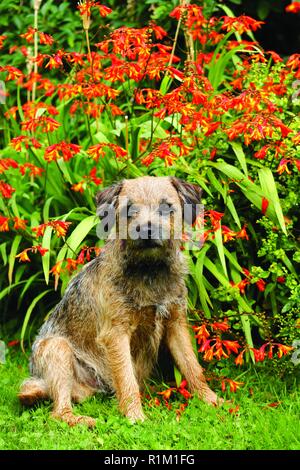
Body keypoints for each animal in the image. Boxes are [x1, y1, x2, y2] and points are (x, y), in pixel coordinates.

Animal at [19, 175, 220, 426]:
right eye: (129, 209)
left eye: (166, 207)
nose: (147, 230)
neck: (149, 271)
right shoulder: (116, 333)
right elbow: (126, 379)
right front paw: (135, 417)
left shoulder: (176, 325)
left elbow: (192, 366)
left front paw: (212, 400)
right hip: (58, 348)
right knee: (58, 412)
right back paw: (85, 421)